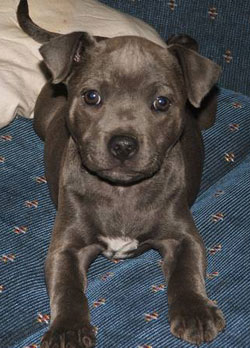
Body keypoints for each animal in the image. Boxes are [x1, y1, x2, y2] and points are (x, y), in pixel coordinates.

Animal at [16, 1, 226, 346]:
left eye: (162, 102)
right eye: (91, 96)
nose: (123, 145)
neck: (121, 190)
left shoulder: (182, 236)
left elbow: (187, 271)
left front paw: (195, 311)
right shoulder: (65, 246)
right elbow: (67, 288)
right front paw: (68, 328)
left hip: (203, 111)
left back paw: (183, 41)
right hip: (41, 121)